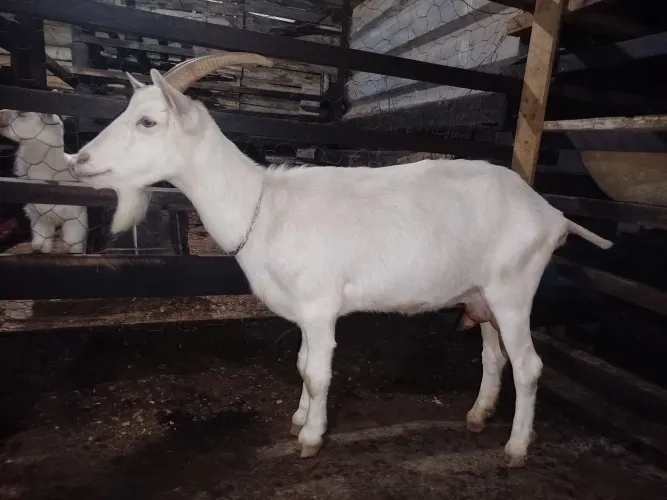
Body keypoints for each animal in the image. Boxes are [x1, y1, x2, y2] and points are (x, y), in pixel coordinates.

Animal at [0, 109, 88, 253]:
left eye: (22, 112)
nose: (1, 112)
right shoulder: (40, 216)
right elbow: (42, 239)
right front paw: (40, 248)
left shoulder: (76, 216)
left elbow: (73, 242)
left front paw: (72, 250)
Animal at [71, 53, 613, 468]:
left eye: (147, 121)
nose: (79, 160)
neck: (264, 206)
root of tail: (552, 214)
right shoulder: (304, 311)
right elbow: (300, 362)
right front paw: (299, 417)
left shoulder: (319, 305)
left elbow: (317, 372)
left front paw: (311, 437)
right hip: (482, 295)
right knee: (494, 356)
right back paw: (478, 417)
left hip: (514, 291)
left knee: (529, 365)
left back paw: (517, 447)